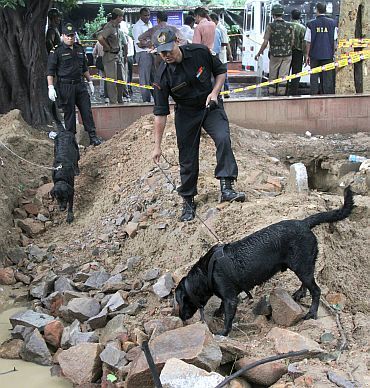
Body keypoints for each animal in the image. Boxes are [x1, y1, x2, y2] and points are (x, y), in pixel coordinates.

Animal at [175, 186, 354, 334]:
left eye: (179, 301)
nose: (181, 318)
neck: (206, 272)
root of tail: (303, 223)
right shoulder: (228, 295)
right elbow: (221, 305)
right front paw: (218, 312)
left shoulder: (231, 298)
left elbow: (228, 317)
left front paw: (223, 333)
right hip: (303, 266)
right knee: (307, 283)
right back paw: (299, 293)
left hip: (302, 266)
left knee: (316, 290)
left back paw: (311, 313)